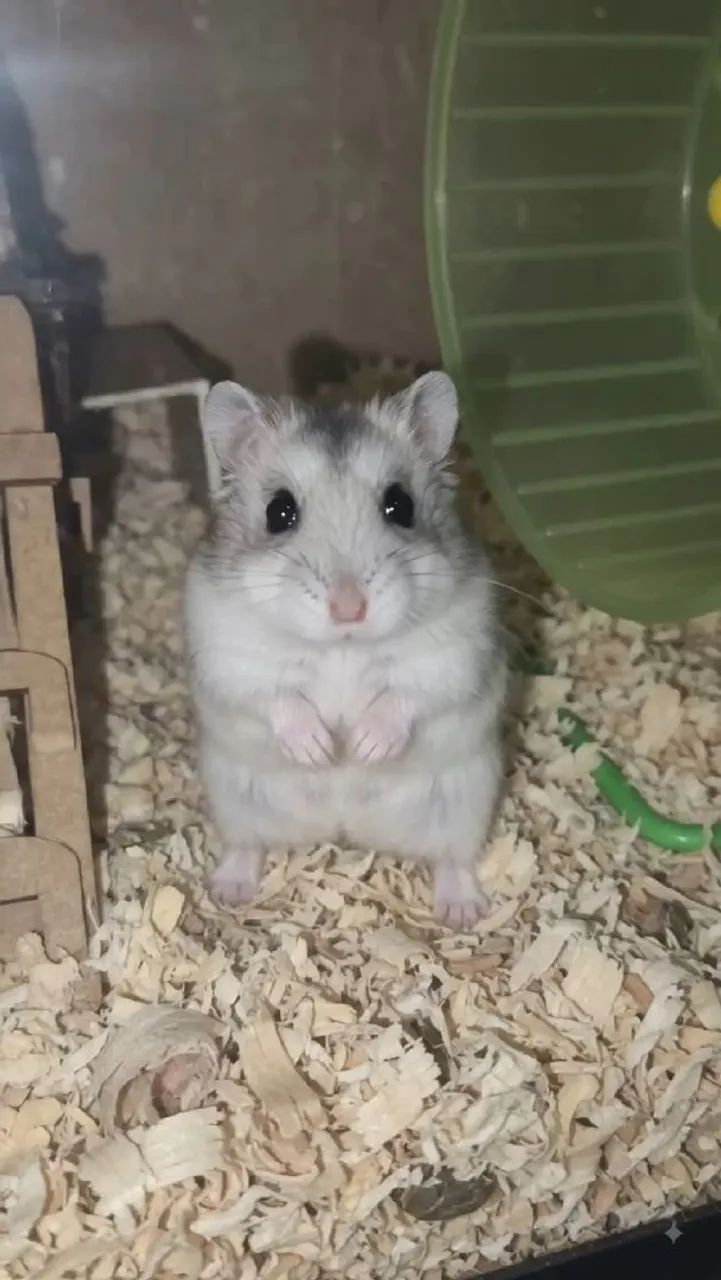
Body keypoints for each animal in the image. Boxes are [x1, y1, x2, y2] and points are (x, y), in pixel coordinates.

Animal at [184, 371, 506, 928]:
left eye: (400, 505)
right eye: (279, 511)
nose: (349, 607)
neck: (342, 648)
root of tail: (344, 827)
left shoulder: (456, 652)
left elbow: (407, 693)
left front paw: (362, 747)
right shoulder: (230, 654)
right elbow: (274, 695)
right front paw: (319, 750)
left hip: (467, 799)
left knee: (455, 859)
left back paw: (461, 912)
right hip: (234, 797)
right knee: (245, 845)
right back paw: (228, 891)